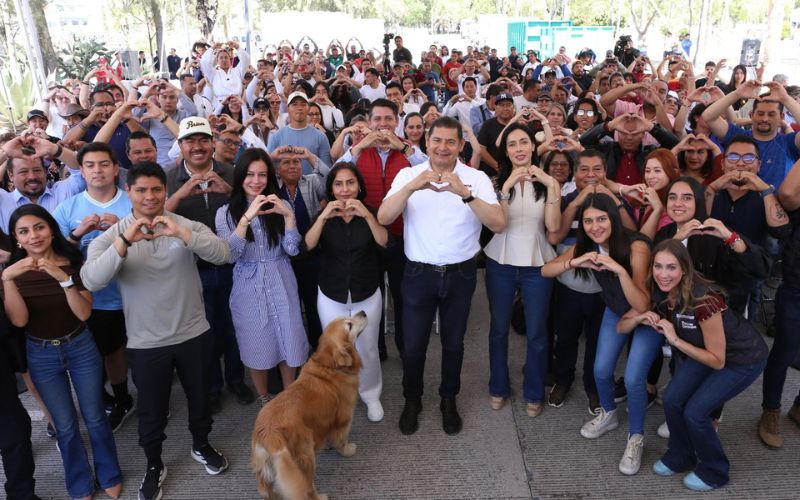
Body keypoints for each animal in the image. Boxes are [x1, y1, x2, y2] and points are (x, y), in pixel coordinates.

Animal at [252, 310, 368, 498]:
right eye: (349, 325)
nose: (363, 312)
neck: (329, 365)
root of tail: (269, 434)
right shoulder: (344, 418)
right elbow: (342, 439)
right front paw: (347, 450)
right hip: (306, 457)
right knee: (307, 488)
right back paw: (320, 496)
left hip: (265, 472)